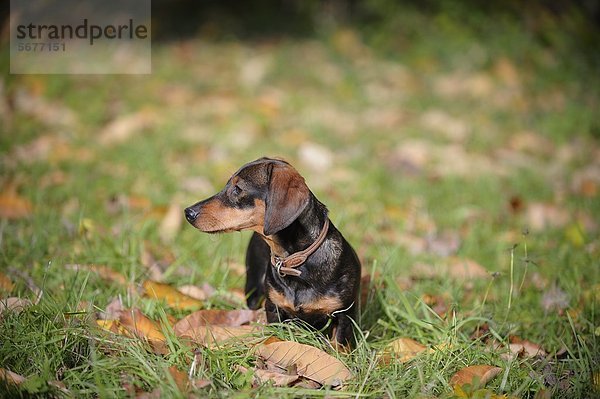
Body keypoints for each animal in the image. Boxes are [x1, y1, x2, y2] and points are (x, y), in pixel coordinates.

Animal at [183, 158, 360, 346]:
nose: (188, 212)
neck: (297, 264)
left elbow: (340, 345)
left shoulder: (344, 315)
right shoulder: (274, 309)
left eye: (237, 189)